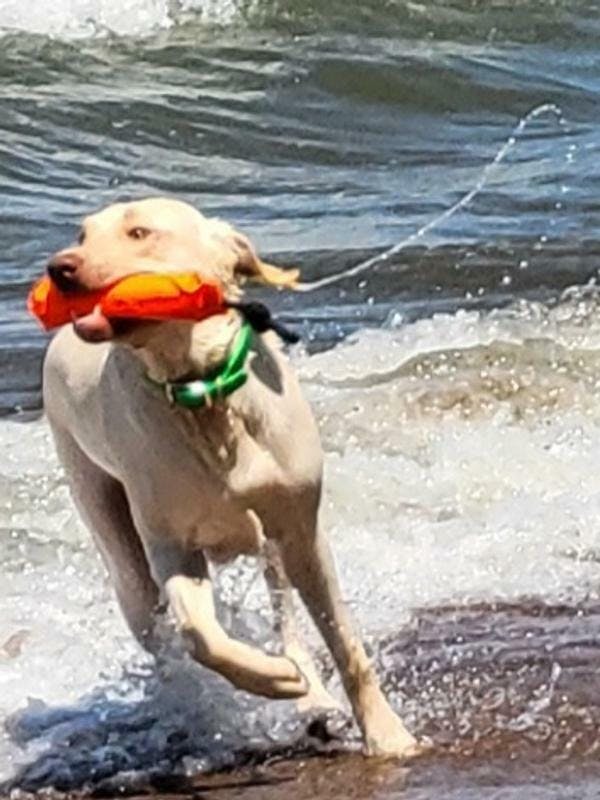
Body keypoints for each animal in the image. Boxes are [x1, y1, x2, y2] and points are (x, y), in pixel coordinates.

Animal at [42, 197, 418, 757]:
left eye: (139, 232)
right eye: (82, 234)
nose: (59, 268)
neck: (203, 392)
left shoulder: (302, 529)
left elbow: (343, 640)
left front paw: (387, 734)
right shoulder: (171, 545)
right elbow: (201, 634)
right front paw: (273, 679)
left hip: (274, 544)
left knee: (287, 615)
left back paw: (314, 696)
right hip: (110, 528)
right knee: (153, 619)